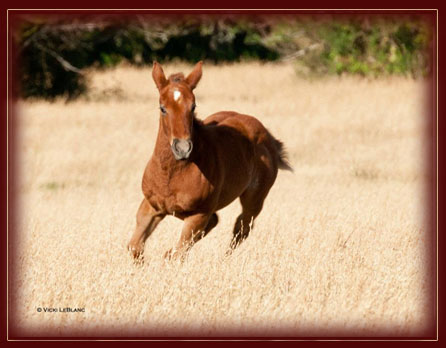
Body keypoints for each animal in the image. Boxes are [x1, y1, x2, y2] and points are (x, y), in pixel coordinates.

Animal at [127, 61, 292, 260]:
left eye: (193, 106)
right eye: (162, 108)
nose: (182, 148)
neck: (171, 174)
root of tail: (268, 137)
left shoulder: (199, 214)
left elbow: (179, 252)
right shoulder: (153, 205)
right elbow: (135, 247)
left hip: (254, 200)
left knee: (241, 228)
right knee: (218, 222)